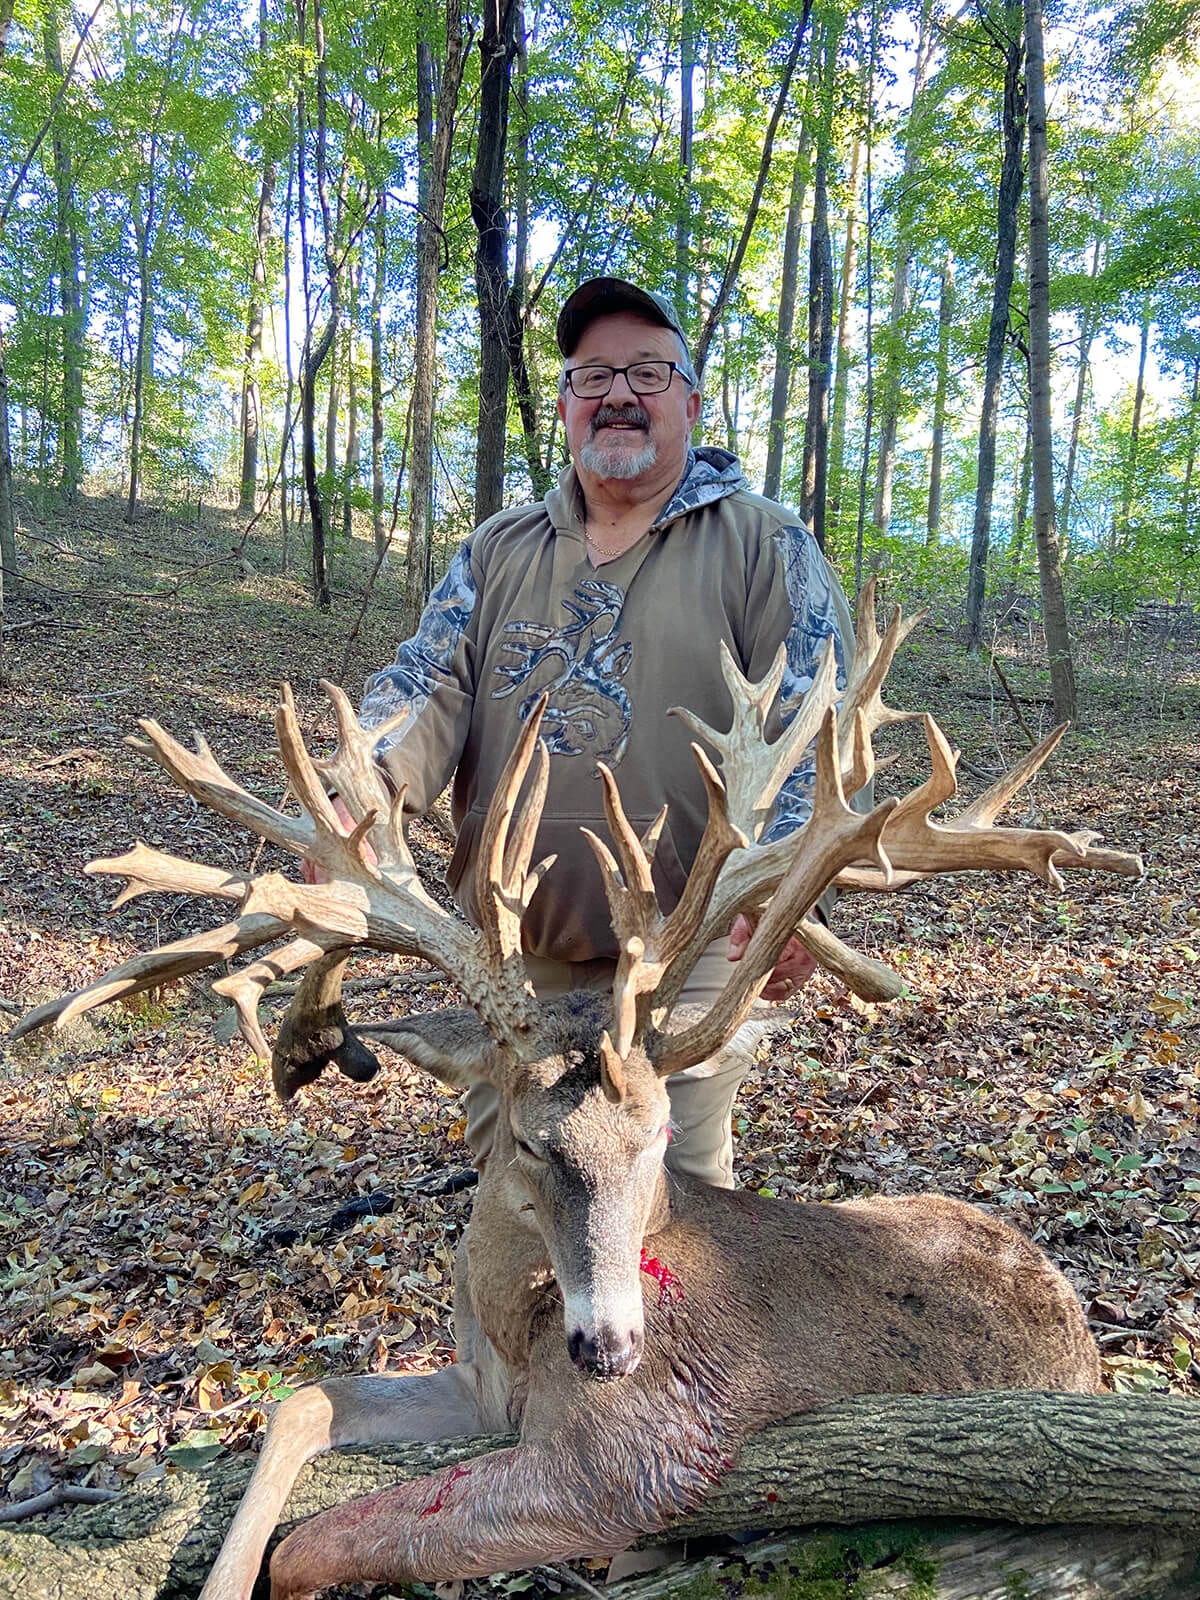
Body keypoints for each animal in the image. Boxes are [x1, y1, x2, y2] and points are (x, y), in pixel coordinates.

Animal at [12, 589, 1140, 1600]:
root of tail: (1085, 1334)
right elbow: (299, 1405)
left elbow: (319, 1546)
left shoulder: (634, 1456)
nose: (611, 1346)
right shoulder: (477, 1385)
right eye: (527, 1142)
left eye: (657, 1141)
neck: (519, 1326)